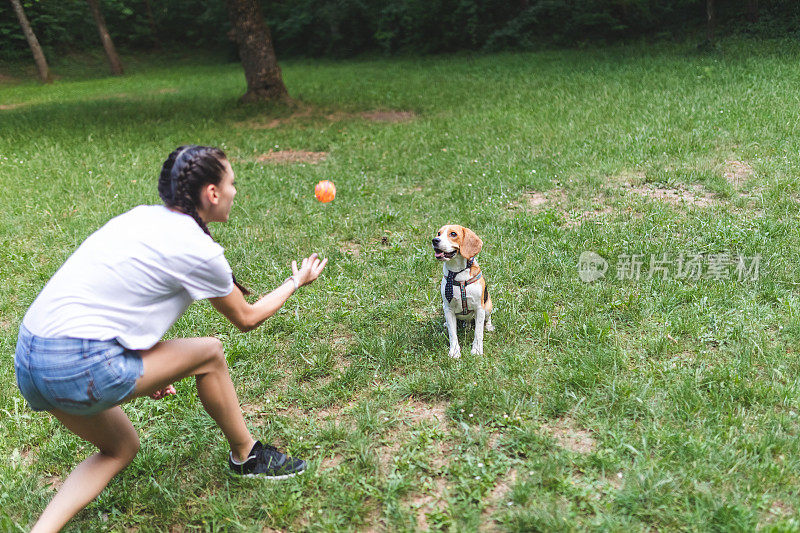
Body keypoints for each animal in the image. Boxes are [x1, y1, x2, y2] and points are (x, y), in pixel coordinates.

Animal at [434, 224, 490, 358]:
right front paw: (454, 351)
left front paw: (476, 350)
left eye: (453, 234)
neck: (457, 273)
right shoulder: (448, 309)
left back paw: (489, 326)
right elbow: (452, 334)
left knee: (487, 319)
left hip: (488, 306)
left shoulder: (479, 308)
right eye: (439, 233)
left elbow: (478, 332)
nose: (434, 240)